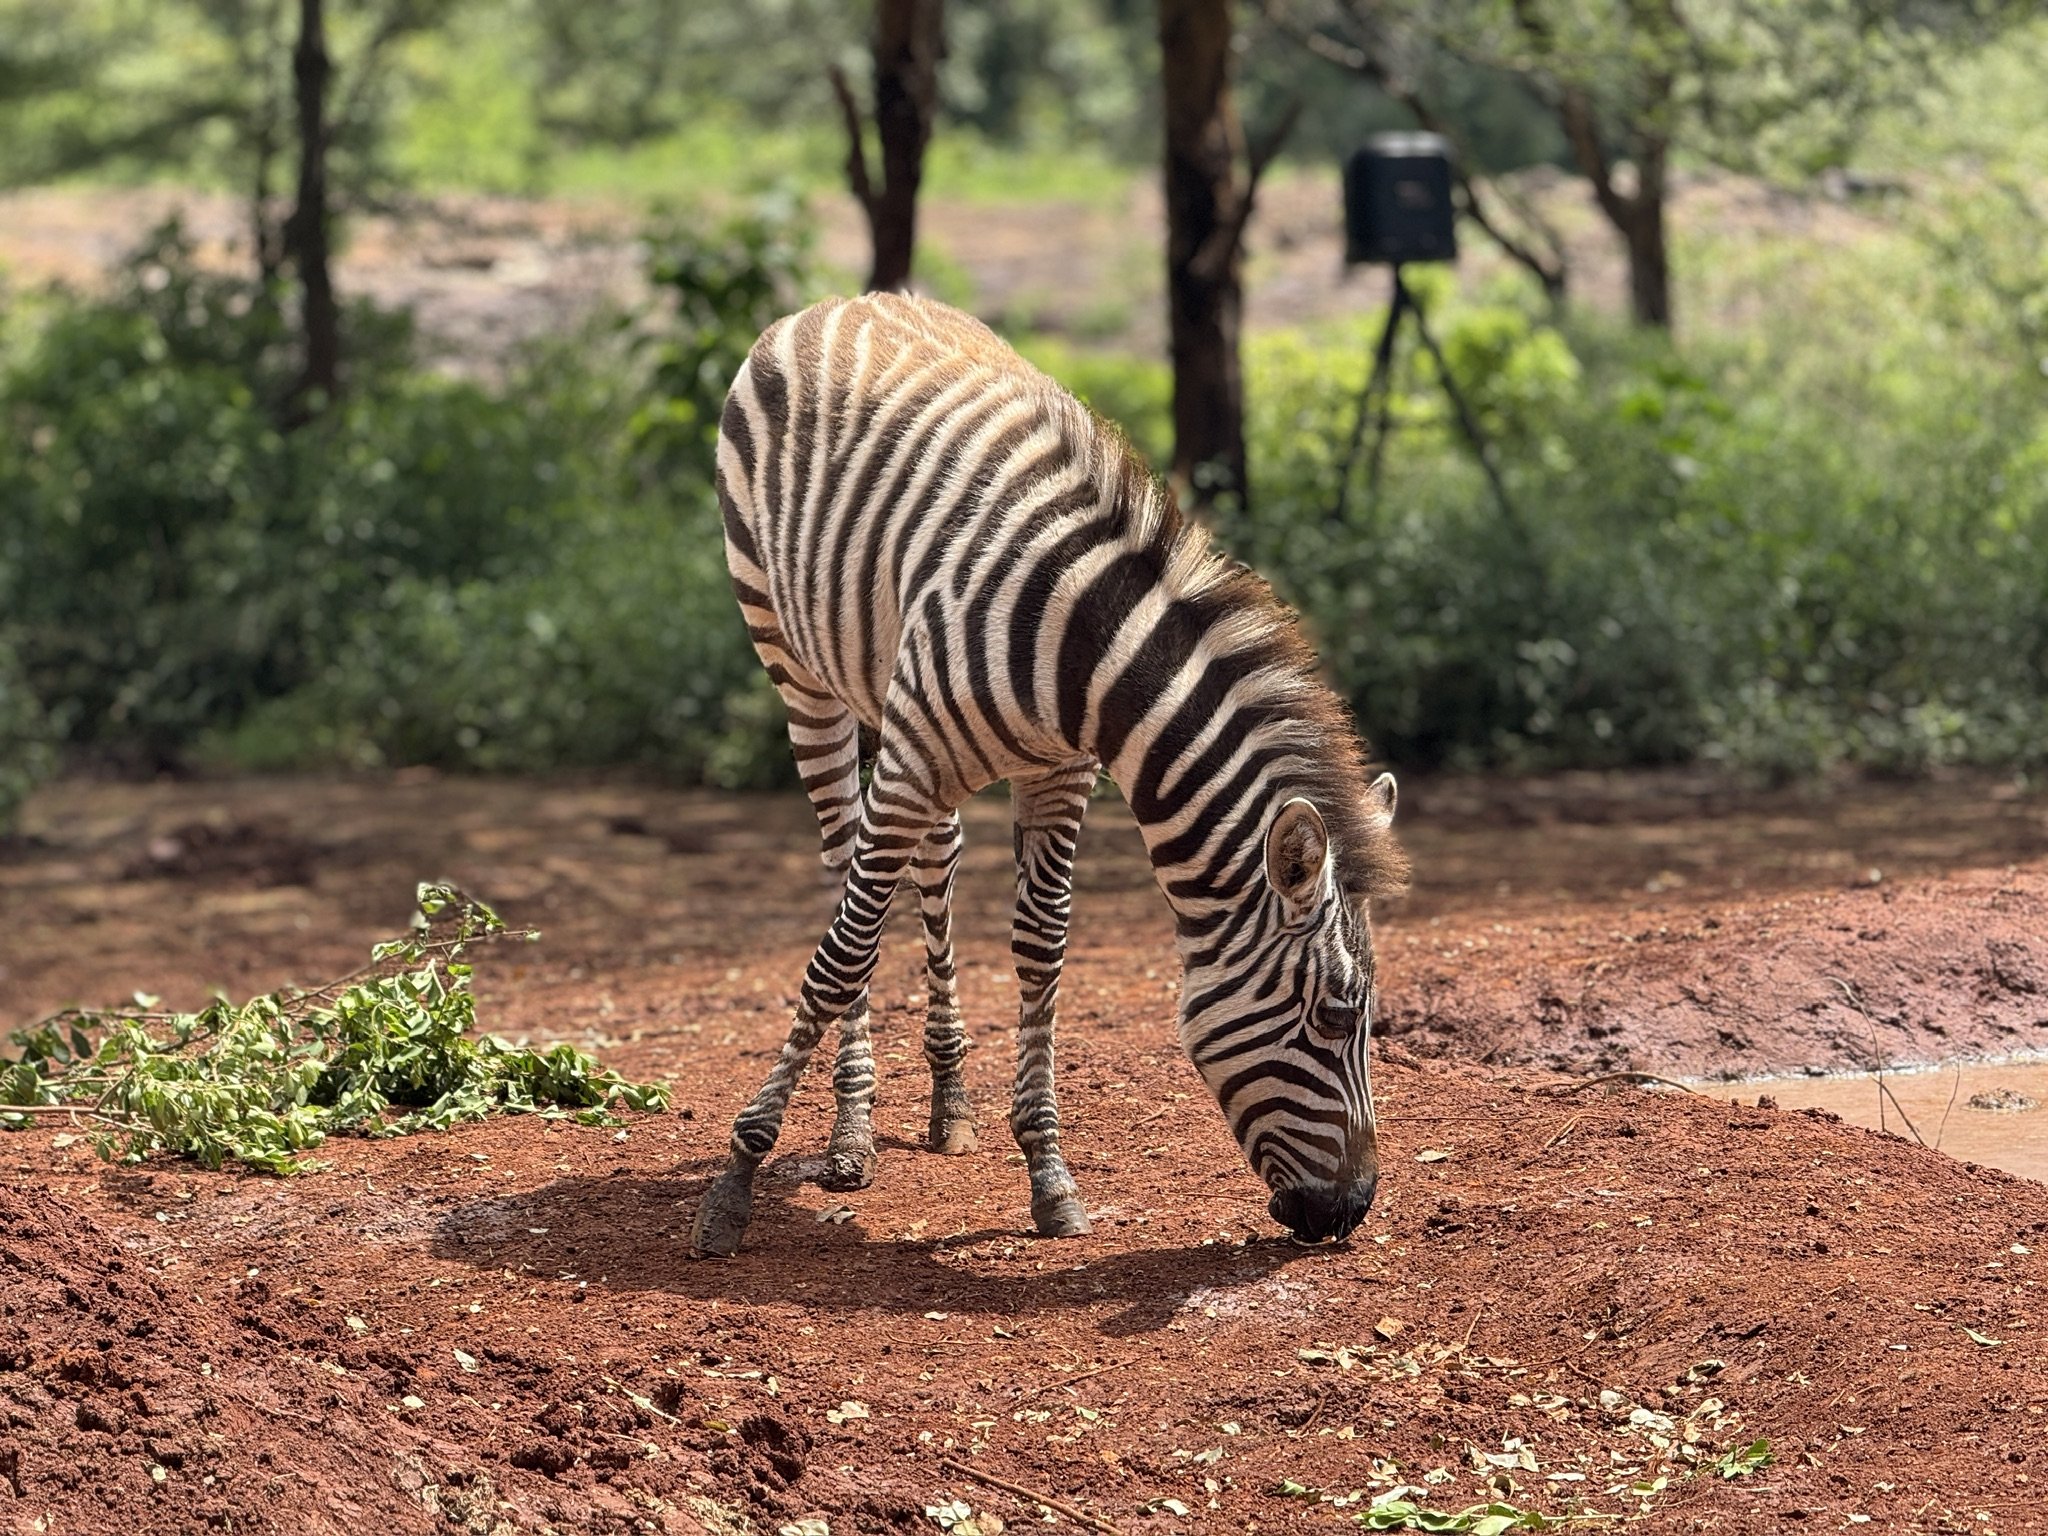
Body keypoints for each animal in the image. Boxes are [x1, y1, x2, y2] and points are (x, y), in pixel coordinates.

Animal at [689, 292, 1407, 1257]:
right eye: (1335, 1016)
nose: (1352, 1210)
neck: (1088, 649)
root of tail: (850, 297)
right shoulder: (912, 763)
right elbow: (842, 955)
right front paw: (737, 1177)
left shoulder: (1060, 775)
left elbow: (1041, 946)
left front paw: (1047, 1173)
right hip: (800, 670)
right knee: (849, 871)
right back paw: (851, 1131)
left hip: (896, 699)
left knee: (936, 861)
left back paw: (948, 1101)